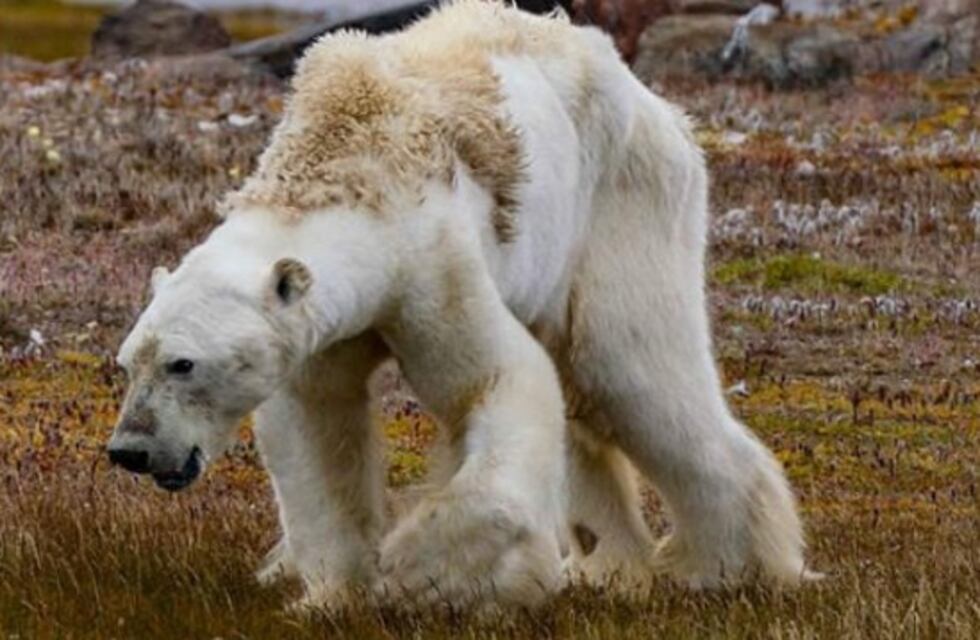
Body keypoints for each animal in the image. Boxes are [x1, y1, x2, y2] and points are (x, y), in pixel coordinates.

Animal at [107, 0, 810, 610]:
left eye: (183, 363)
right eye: (127, 361)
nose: (130, 450)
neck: (346, 163)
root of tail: (656, 104)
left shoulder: (431, 263)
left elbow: (497, 381)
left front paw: (423, 570)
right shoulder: (320, 329)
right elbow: (315, 426)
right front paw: (332, 594)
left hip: (622, 201)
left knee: (630, 370)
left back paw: (727, 567)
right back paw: (609, 566)